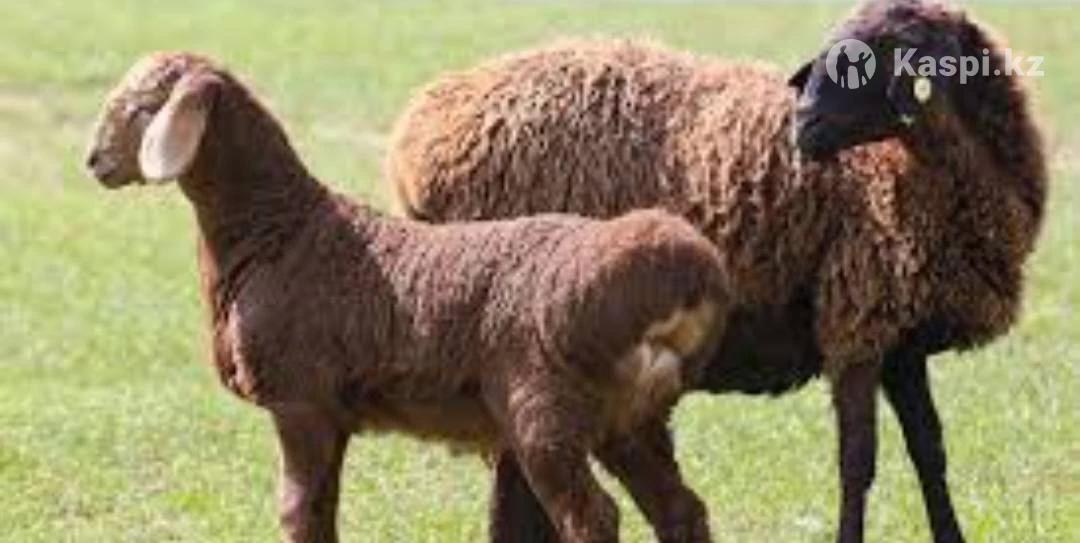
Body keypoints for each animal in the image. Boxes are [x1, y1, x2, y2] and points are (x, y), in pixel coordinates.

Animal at [84, 51, 731, 543]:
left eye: (144, 107)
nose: (95, 162)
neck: (279, 229)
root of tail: (684, 272)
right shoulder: (332, 412)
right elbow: (322, 513)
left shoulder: (300, 400)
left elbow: (298, 514)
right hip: (634, 418)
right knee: (681, 509)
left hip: (545, 412)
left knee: (592, 519)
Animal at [384, 1, 1048, 542]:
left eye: (892, 44)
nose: (802, 124)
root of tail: (418, 137)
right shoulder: (856, 317)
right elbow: (858, 460)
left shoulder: (900, 332)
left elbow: (929, 450)